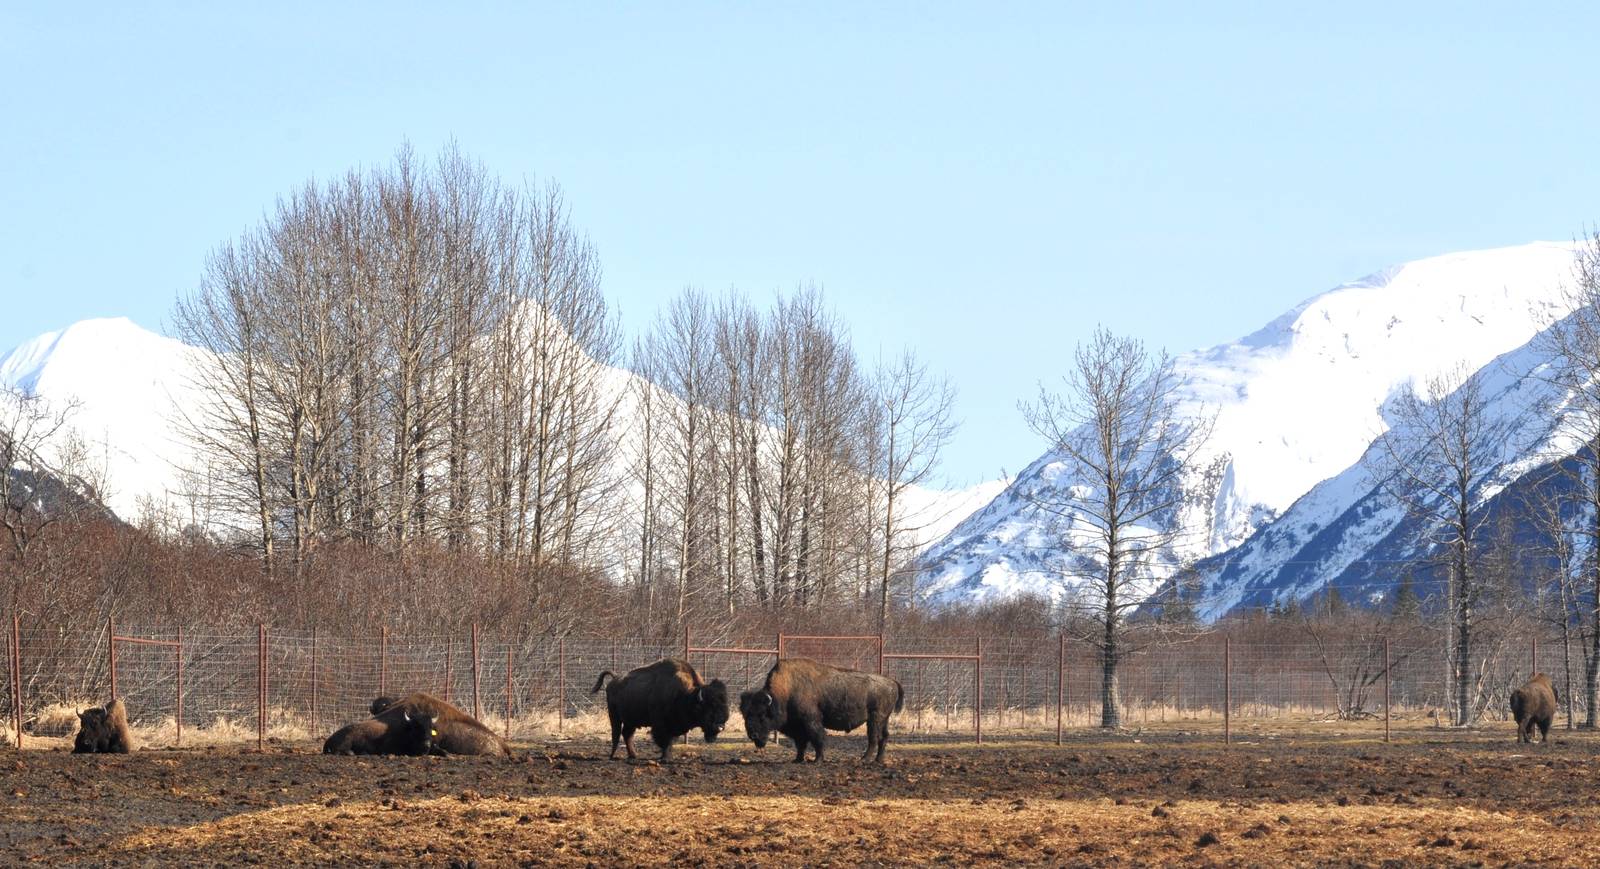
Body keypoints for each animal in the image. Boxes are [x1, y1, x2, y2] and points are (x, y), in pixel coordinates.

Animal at [592, 658, 729, 760]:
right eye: (708, 708)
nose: (720, 726)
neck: (685, 695)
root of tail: (615, 679)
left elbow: (670, 741)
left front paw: (668, 757)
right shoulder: (660, 724)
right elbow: (664, 741)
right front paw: (665, 758)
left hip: (631, 720)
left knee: (627, 734)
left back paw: (633, 755)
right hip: (614, 716)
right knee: (616, 733)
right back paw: (612, 756)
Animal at [739, 658, 903, 763]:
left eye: (762, 715)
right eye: (745, 715)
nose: (753, 735)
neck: (785, 692)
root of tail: (892, 681)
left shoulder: (811, 721)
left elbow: (817, 738)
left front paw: (817, 760)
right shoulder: (797, 727)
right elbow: (801, 743)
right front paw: (797, 760)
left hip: (874, 719)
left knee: (873, 738)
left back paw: (864, 759)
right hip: (883, 720)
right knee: (884, 737)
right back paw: (878, 760)